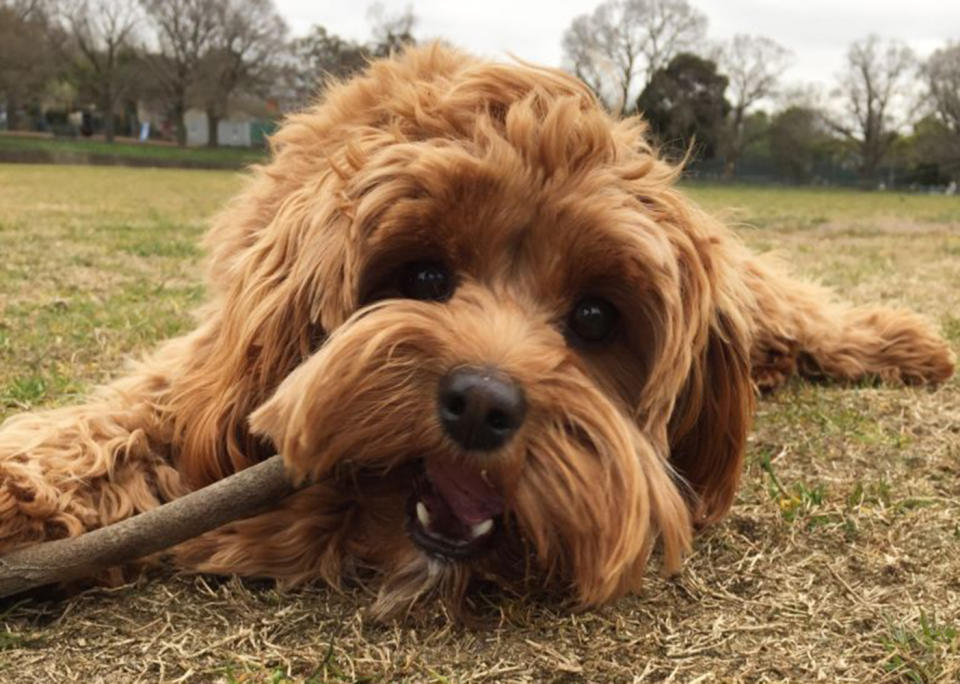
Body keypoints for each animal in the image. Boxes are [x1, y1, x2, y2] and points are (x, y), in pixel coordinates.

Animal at [0, 45, 952, 616]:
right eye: (423, 278)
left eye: (596, 318)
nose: (483, 405)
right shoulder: (217, 361)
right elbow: (133, 418)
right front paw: (24, 499)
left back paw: (901, 343)